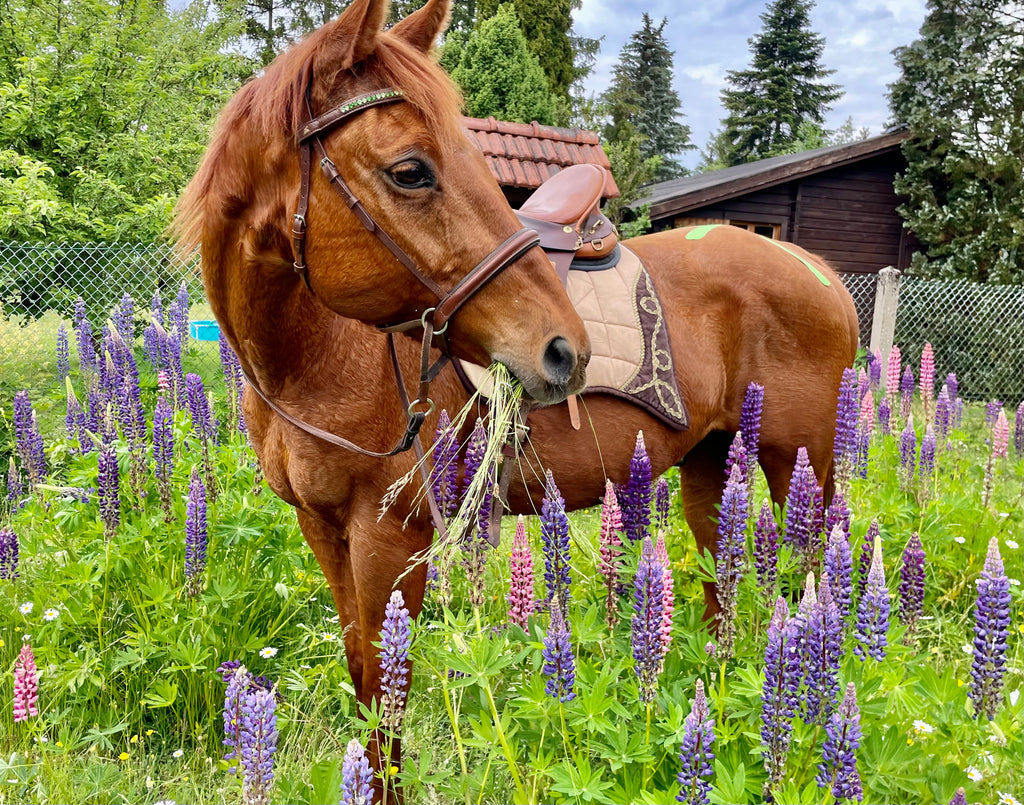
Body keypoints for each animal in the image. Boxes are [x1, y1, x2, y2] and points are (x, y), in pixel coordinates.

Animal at [174, 0, 856, 782]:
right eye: (410, 171)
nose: (566, 348)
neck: (321, 356)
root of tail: (814, 269)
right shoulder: (322, 528)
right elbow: (364, 685)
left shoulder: (390, 537)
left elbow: (386, 703)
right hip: (714, 465)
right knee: (723, 578)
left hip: (797, 466)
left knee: (811, 584)